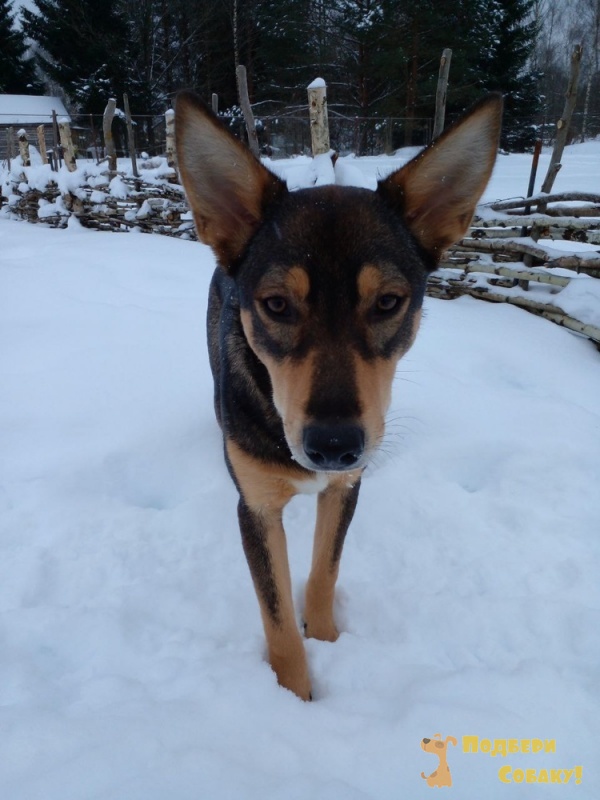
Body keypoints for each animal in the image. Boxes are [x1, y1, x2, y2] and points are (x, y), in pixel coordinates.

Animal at [175, 90, 502, 700]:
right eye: (277, 305)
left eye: (388, 302)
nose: (332, 445)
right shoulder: (255, 508)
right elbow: (277, 616)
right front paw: (294, 695)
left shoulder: (347, 487)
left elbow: (325, 570)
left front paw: (326, 640)